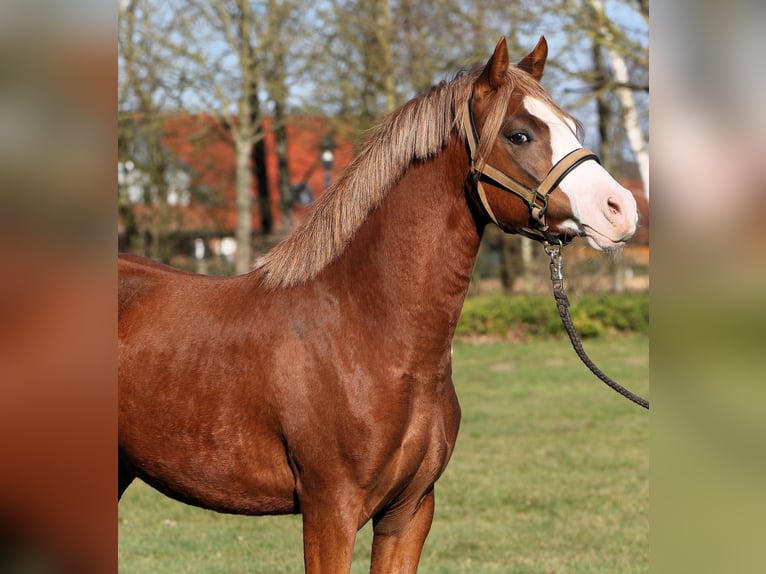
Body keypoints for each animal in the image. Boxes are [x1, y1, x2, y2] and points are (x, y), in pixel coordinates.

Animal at [118, 38, 636, 572]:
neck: (369, 332)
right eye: (519, 134)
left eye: (571, 125)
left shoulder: (410, 512)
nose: (621, 209)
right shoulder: (331, 511)